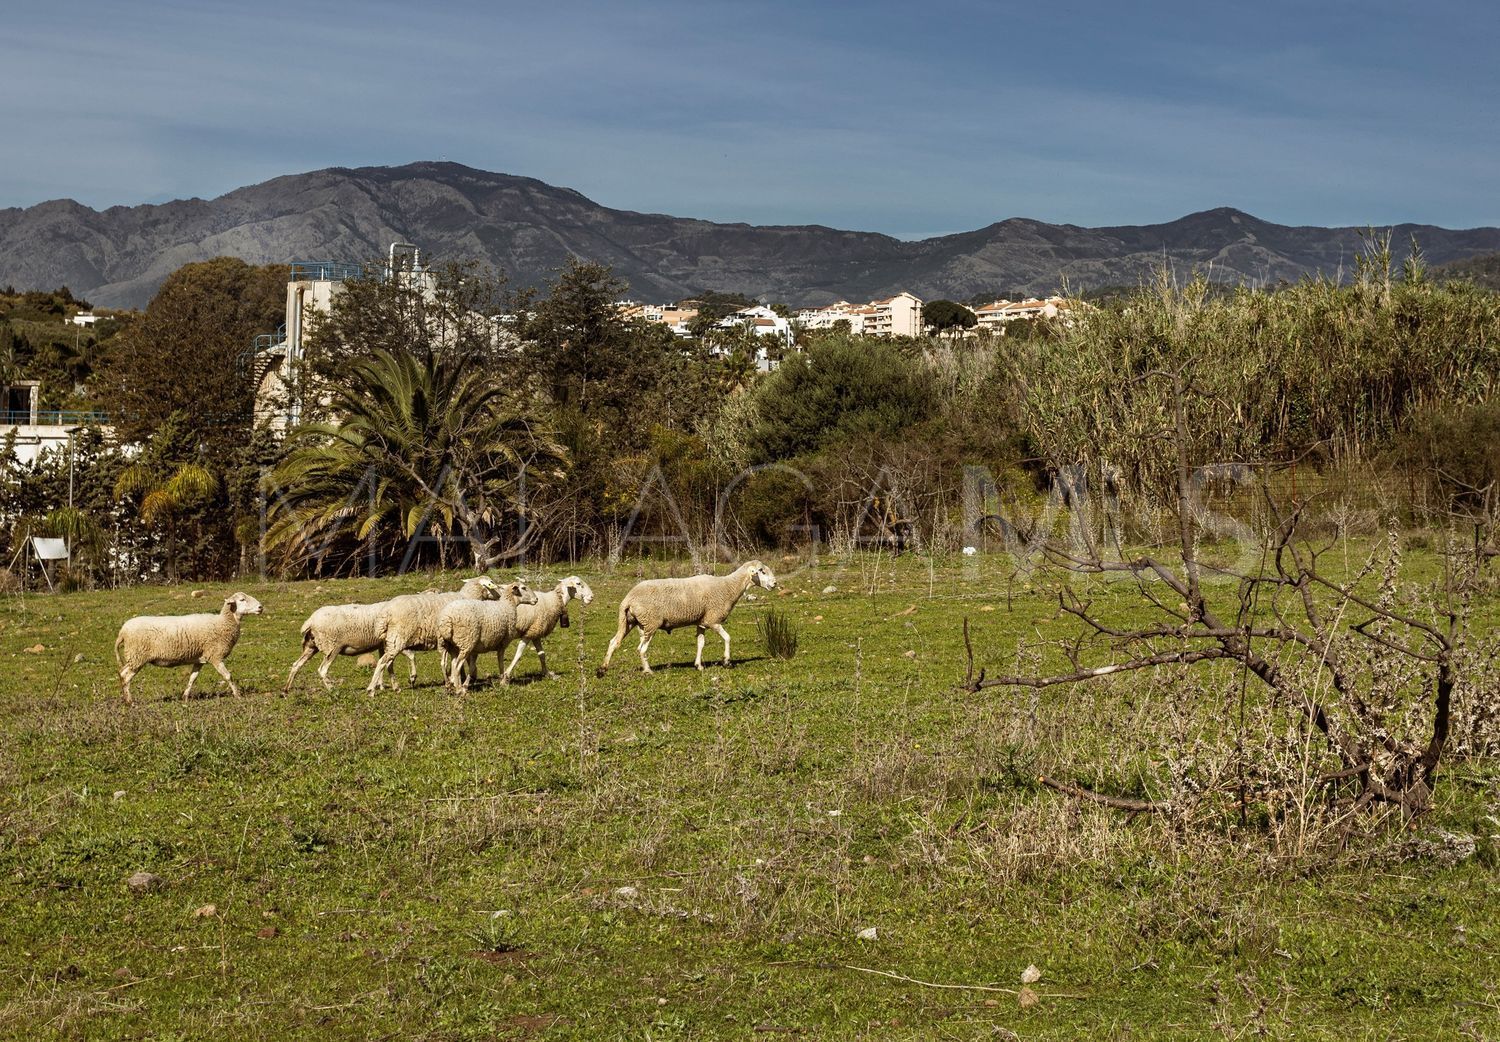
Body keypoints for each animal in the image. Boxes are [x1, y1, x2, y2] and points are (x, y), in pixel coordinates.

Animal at [115, 590, 265, 704]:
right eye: (242, 599)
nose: (260, 607)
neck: (223, 623)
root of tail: (122, 631)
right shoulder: (215, 656)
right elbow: (228, 676)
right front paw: (237, 695)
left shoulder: (200, 659)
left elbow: (192, 678)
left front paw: (185, 697)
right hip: (138, 656)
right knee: (126, 677)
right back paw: (130, 701)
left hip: (134, 657)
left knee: (122, 673)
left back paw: (126, 699)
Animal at [282, 602, 420, 692]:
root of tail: (310, 621)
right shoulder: (393, 642)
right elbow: (409, 656)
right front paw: (410, 679)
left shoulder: (383, 645)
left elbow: (384, 664)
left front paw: (380, 685)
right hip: (332, 647)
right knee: (322, 669)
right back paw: (332, 689)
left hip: (311, 647)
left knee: (296, 665)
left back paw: (286, 689)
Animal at [367, 578, 504, 692]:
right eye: (492, 583)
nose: (500, 595)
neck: (468, 596)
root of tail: (385, 613)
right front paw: (459, 679)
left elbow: (456, 661)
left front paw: (457, 678)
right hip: (397, 638)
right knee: (383, 661)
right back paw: (372, 689)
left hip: (391, 640)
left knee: (388, 663)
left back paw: (396, 687)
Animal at [600, 563, 780, 677]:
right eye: (762, 571)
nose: (775, 583)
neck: (728, 587)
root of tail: (628, 598)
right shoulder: (713, 620)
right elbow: (727, 637)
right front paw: (727, 661)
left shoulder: (702, 622)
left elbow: (700, 643)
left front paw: (698, 665)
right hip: (651, 623)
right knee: (641, 649)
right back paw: (648, 671)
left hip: (629, 622)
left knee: (613, 642)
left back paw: (602, 669)